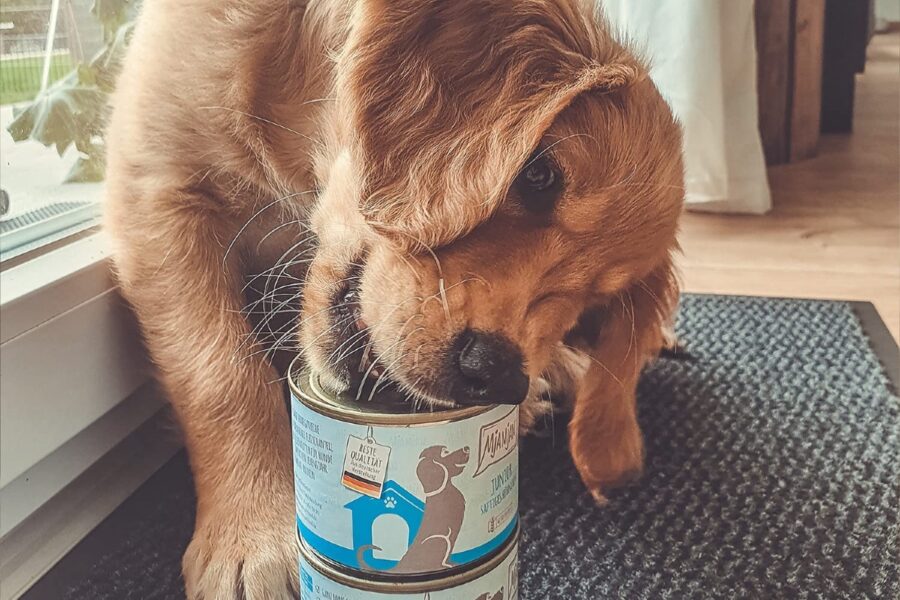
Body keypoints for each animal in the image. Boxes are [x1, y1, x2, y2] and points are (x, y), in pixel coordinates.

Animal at [105, 0, 684, 596]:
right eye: (538, 174)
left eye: (590, 309)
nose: (497, 375)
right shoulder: (157, 189)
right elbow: (220, 375)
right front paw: (253, 538)